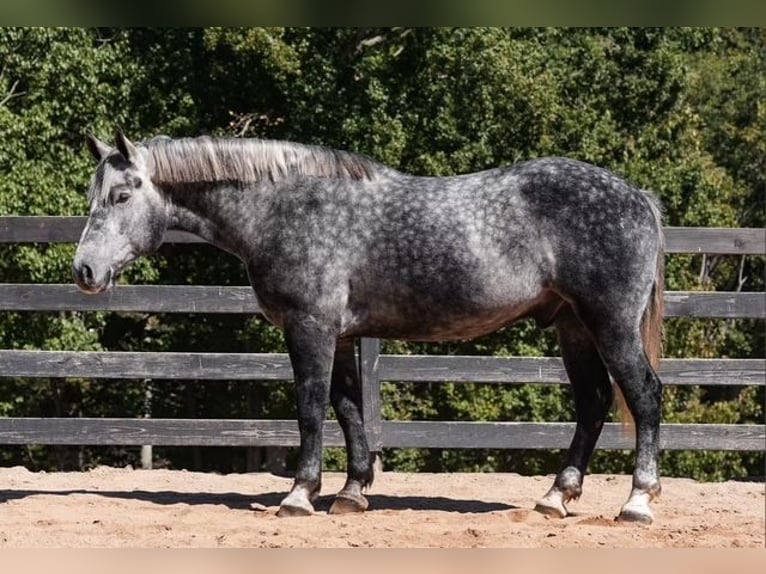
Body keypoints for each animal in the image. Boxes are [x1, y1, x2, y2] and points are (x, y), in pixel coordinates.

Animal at [73, 131, 665, 524]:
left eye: (121, 196)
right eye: (92, 197)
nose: (84, 271)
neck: (285, 207)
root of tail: (639, 198)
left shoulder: (309, 327)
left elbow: (311, 408)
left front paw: (299, 494)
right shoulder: (339, 334)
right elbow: (347, 407)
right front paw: (352, 491)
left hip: (609, 324)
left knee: (645, 396)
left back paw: (637, 501)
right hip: (573, 327)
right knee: (593, 402)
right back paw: (555, 497)